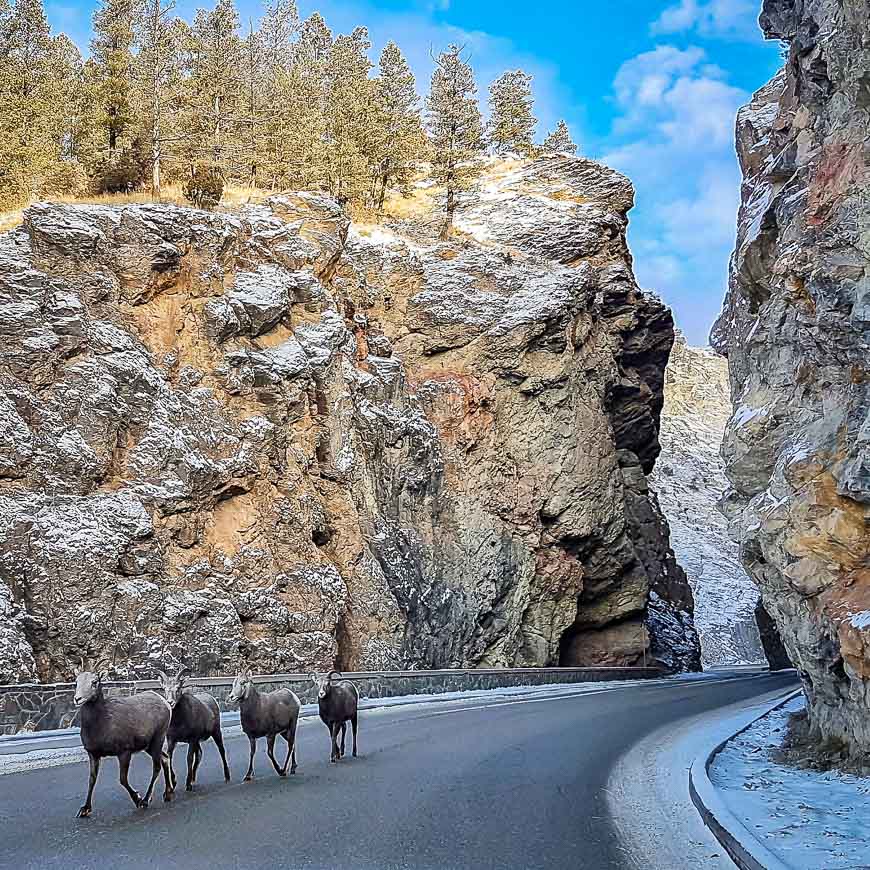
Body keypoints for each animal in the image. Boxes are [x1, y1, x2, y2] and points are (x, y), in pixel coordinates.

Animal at [73, 660, 174, 816]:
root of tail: (165, 703)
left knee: (157, 766)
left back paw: (146, 800)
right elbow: (91, 780)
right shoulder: (93, 754)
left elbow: (122, 779)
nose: (77, 699)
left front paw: (138, 799)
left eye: (94, 682)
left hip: (158, 739)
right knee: (165, 758)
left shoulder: (124, 752)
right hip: (149, 746)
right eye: (76, 681)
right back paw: (168, 794)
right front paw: (85, 809)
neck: (101, 724)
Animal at [158, 668, 232, 796]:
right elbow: (169, 758)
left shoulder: (191, 740)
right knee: (199, 754)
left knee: (221, 751)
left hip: (216, 732)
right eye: (165, 688)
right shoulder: (172, 740)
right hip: (198, 741)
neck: (179, 721)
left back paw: (227, 777)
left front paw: (188, 785)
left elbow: (189, 759)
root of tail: (212, 699)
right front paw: (174, 783)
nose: (170, 702)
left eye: (178, 688)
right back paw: (193, 779)